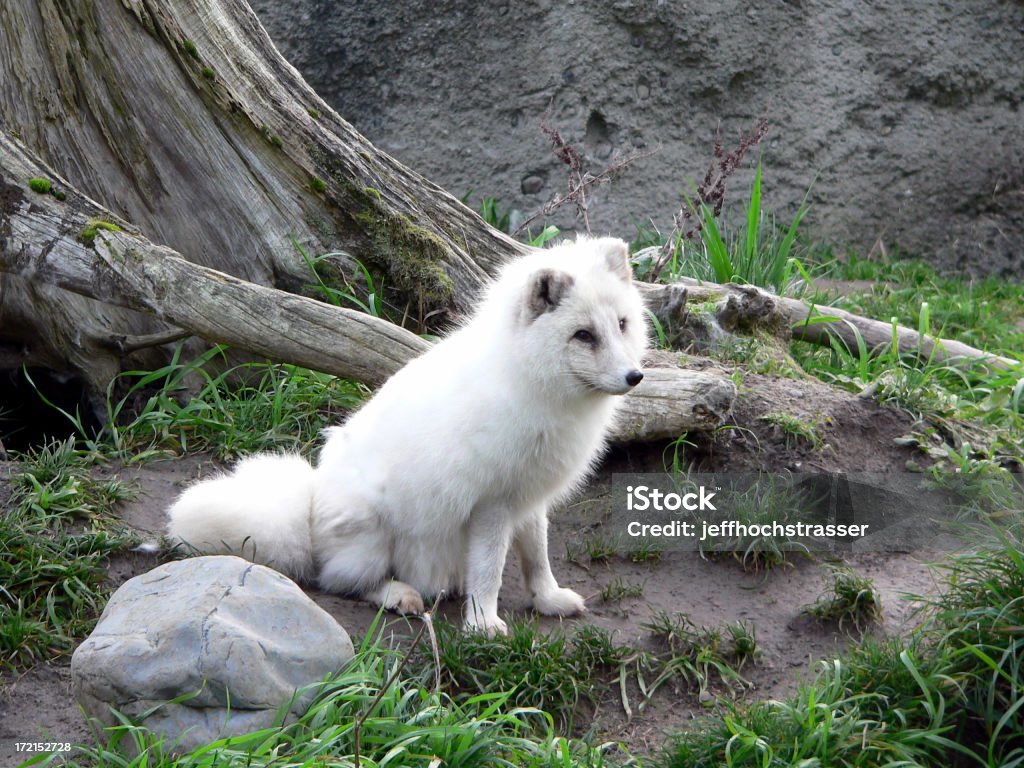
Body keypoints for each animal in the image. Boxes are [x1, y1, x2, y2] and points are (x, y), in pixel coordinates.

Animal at [167, 237, 647, 634]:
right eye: (583, 335)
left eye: (622, 325)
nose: (635, 376)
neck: (531, 382)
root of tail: (308, 512)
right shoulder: (493, 504)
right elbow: (490, 570)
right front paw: (484, 624)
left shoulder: (530, 496)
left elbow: (537, 556)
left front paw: (547, 600)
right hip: (374, 531)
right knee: (336, 581)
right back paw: (399, 594)